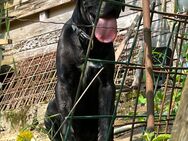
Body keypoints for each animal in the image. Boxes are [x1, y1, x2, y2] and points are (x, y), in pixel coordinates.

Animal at [44, 0, 124, 140]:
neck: (89, 41)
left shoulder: (107, 84)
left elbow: (105, 119)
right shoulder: (64, 83)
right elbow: (66, 116)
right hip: (49, 111)